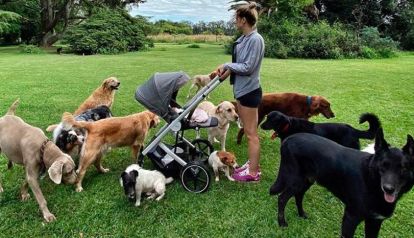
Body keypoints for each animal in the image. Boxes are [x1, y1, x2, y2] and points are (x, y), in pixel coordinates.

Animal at [268, 130, 414, 238]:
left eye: (403, 168)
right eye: (383, 166)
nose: (388, 189)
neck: (371, 181)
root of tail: (289, 138)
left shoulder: (374, 222)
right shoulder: (350, 218)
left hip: (307, 180)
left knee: (298, 196)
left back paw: (301, 214)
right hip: (296, 181)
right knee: (282, 198)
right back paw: (282, 223)